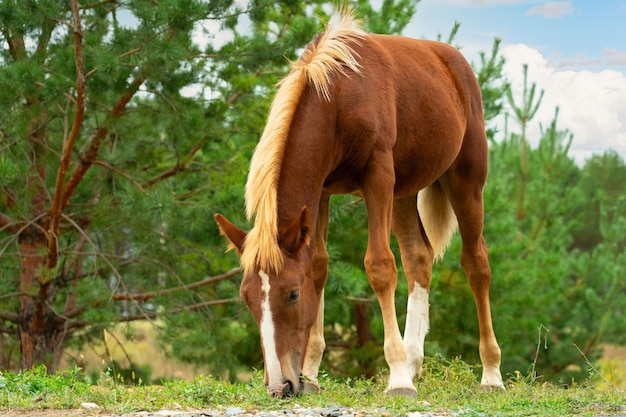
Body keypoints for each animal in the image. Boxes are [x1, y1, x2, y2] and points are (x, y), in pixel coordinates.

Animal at [214, 9, 502, 398]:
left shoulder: (377, 177)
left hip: (465, 181)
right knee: (418, 258)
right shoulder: (321, 191)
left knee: (476, 264)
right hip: (403, 193)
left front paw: (397, 379)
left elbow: (379, 266)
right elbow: (318, 266)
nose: (279, 385)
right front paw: (311, 373)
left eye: (292, 294)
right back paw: (414, 361)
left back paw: (490, 373)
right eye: (247, 298)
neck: (337, 96)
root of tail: (454, 62)